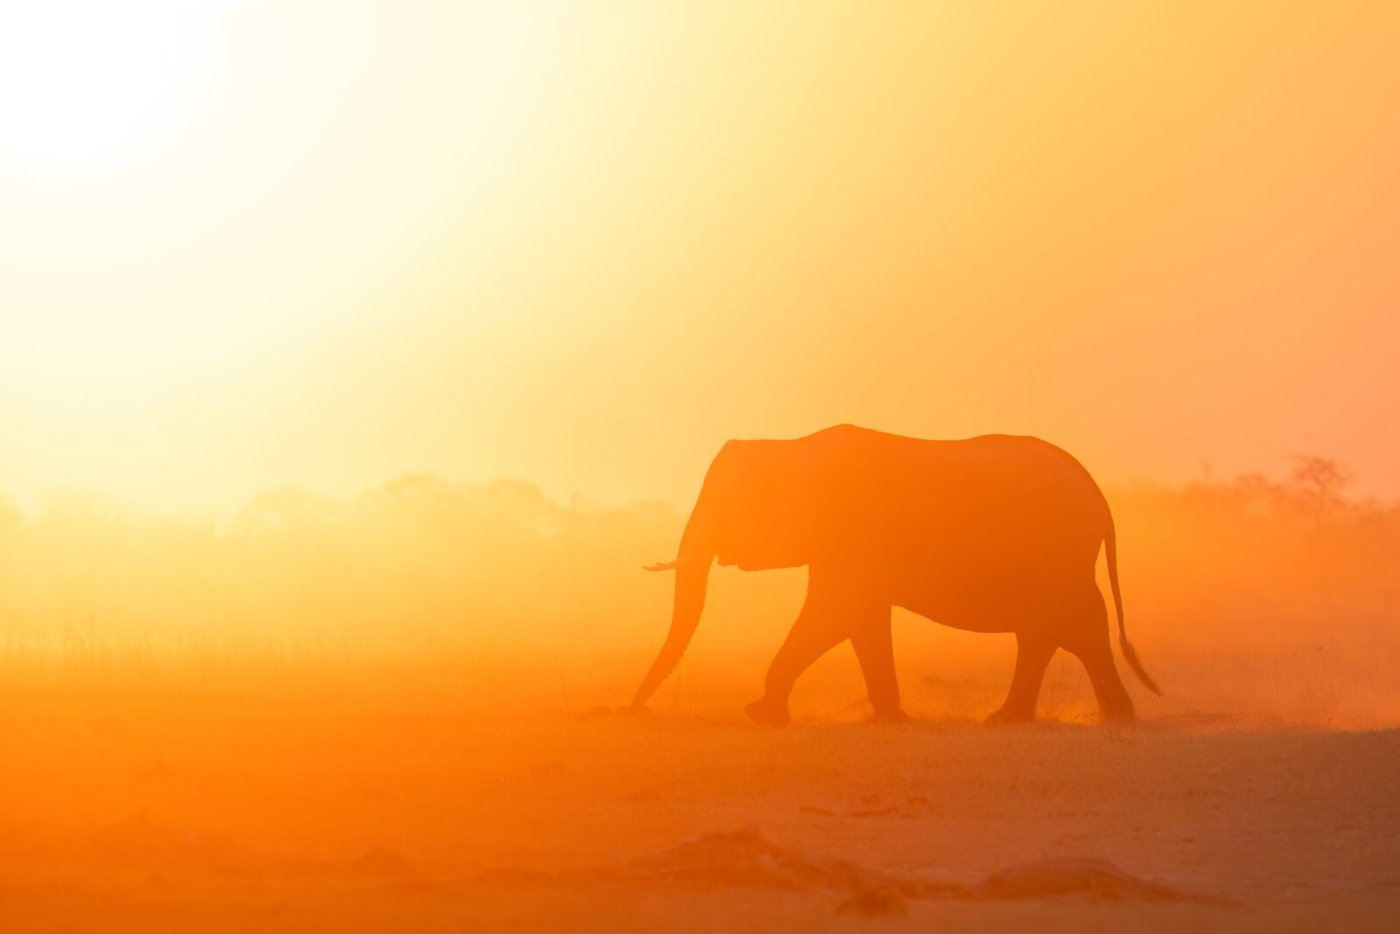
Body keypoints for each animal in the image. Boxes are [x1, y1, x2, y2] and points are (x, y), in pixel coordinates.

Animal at [629, 424, 1159, 726]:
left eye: (727, 504)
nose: (631, 710)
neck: (793, 447)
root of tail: (1098, 497)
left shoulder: (848, 533)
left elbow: (832, 613)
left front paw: (761, 715)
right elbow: (861, 620)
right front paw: (891, 717)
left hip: (1055, 555)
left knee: (1058, 630)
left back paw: (1022, 719)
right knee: (1073, 630)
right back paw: (1104, 717)